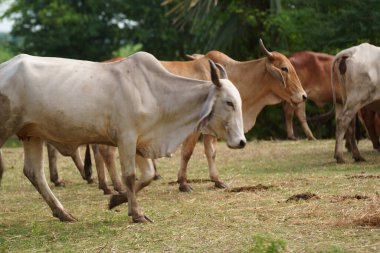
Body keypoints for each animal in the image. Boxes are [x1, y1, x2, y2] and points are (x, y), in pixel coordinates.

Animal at [0, 52, 245, 222]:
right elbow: (129, 176)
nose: (241, 142)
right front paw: (136, 213)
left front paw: (116, 200)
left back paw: (62, 212)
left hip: (31, 134)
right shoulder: (126, 138)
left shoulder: (140, 141)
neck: (154, 92)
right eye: (229, 102)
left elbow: (147, 175)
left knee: (34, 173)